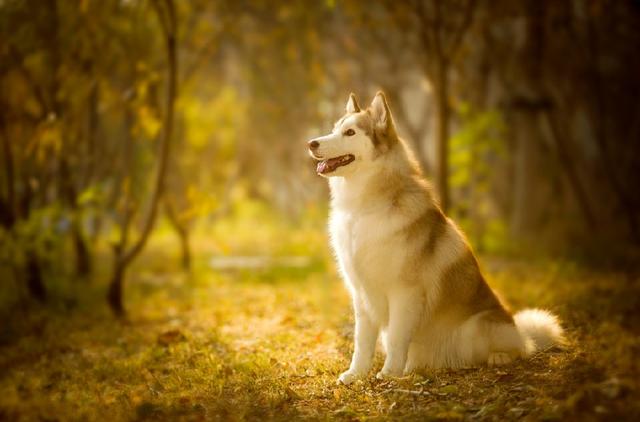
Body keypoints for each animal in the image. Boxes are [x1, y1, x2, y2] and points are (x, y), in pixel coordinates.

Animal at [308, 92, 564, 386]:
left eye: (350, 132)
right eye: (334, 128)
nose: (311, 143)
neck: (364, 208)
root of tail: (518, 330)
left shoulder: (404, 293)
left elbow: (396, 337)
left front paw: (389, 374)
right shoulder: (361, 294)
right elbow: (362, 342)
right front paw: (356, 374)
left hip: (478, 327)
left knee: (520, 348)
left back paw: (498, 356)